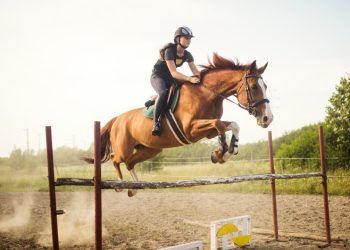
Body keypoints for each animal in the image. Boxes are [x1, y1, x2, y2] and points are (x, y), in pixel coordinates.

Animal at [82, 53, 274, 196]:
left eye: (265, 86)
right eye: (255, 87)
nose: (267, 118)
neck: (207, 94)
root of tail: (117, 119)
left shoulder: (206, 132)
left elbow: (231, 125)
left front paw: (224, 153)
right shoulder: (191, 130)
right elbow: (219, 124)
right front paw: (220, 153)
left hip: (150, 150)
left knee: (130, 163)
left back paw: (135, 188)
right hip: (124, 148)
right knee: (115, 159)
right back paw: (121, 185)